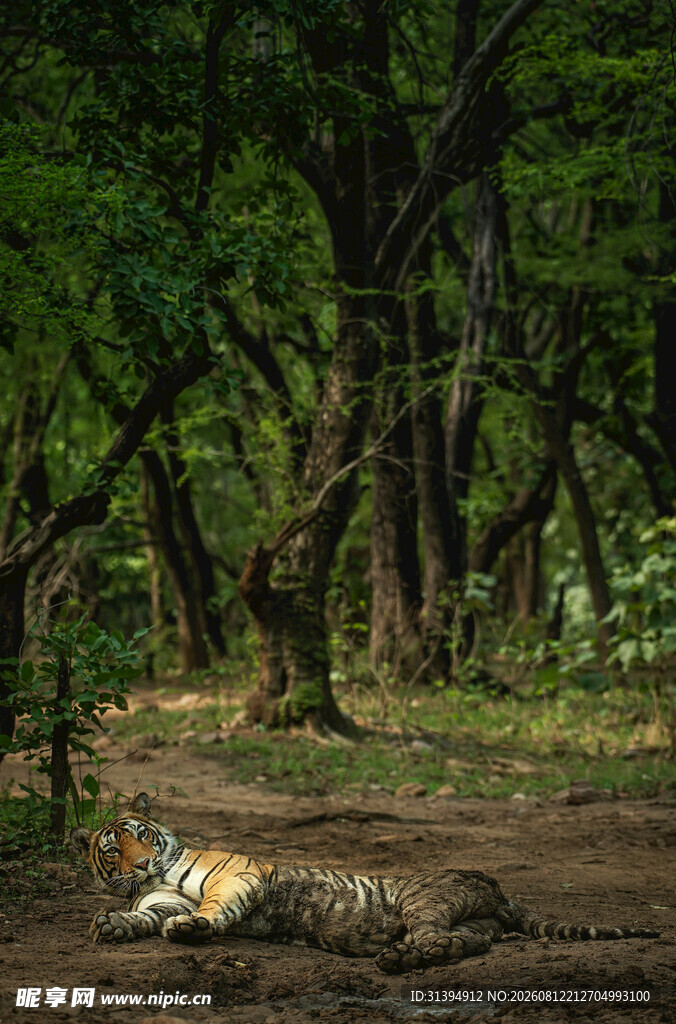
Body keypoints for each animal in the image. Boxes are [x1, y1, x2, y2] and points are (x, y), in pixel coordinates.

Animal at [70, 793, 660, 974]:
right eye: (112, 849)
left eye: (141, 834)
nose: (140, 863)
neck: (163, 872)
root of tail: (497, 887)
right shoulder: (159, 899)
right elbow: (144, 916)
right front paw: (111, 924)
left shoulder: (239, 875)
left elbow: (212, 907)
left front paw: (194, 928)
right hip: (471, 920)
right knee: (466, 943)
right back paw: (408, 957)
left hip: (426, 898)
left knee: (434, 938)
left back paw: (399, 959)